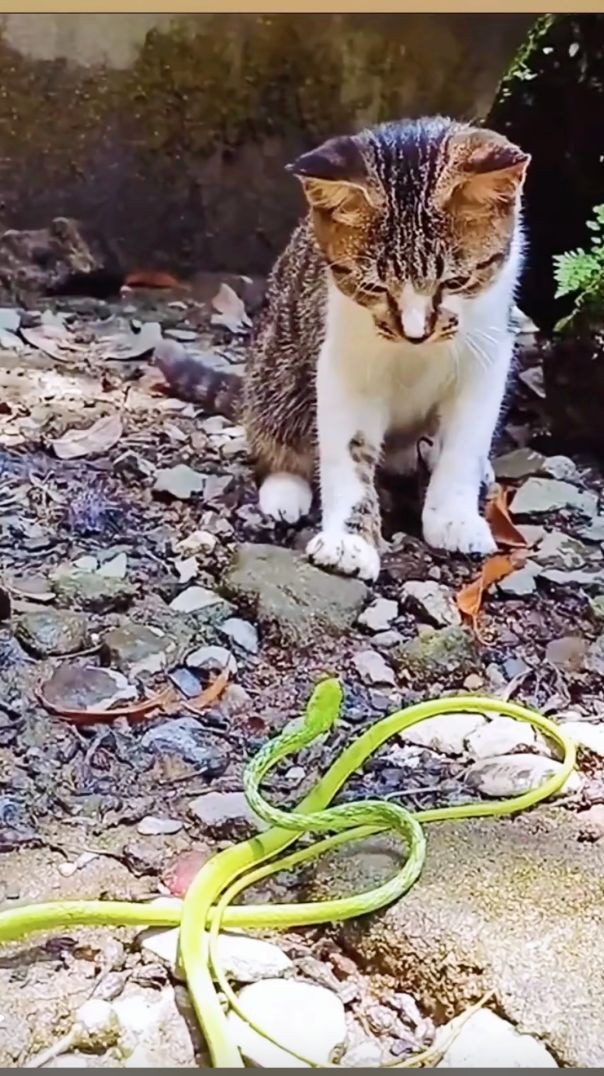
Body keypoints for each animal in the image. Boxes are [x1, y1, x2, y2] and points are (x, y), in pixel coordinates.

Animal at [155, 115, 527, 581]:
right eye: (375, 287)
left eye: (455, 282)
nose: (416, 333)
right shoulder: (343, 365)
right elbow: (348, 454)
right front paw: (350, 540)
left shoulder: (488, 356)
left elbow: (465, 445)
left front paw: (454, 516)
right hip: (277, 365)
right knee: (273, 426)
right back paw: (285, 489)